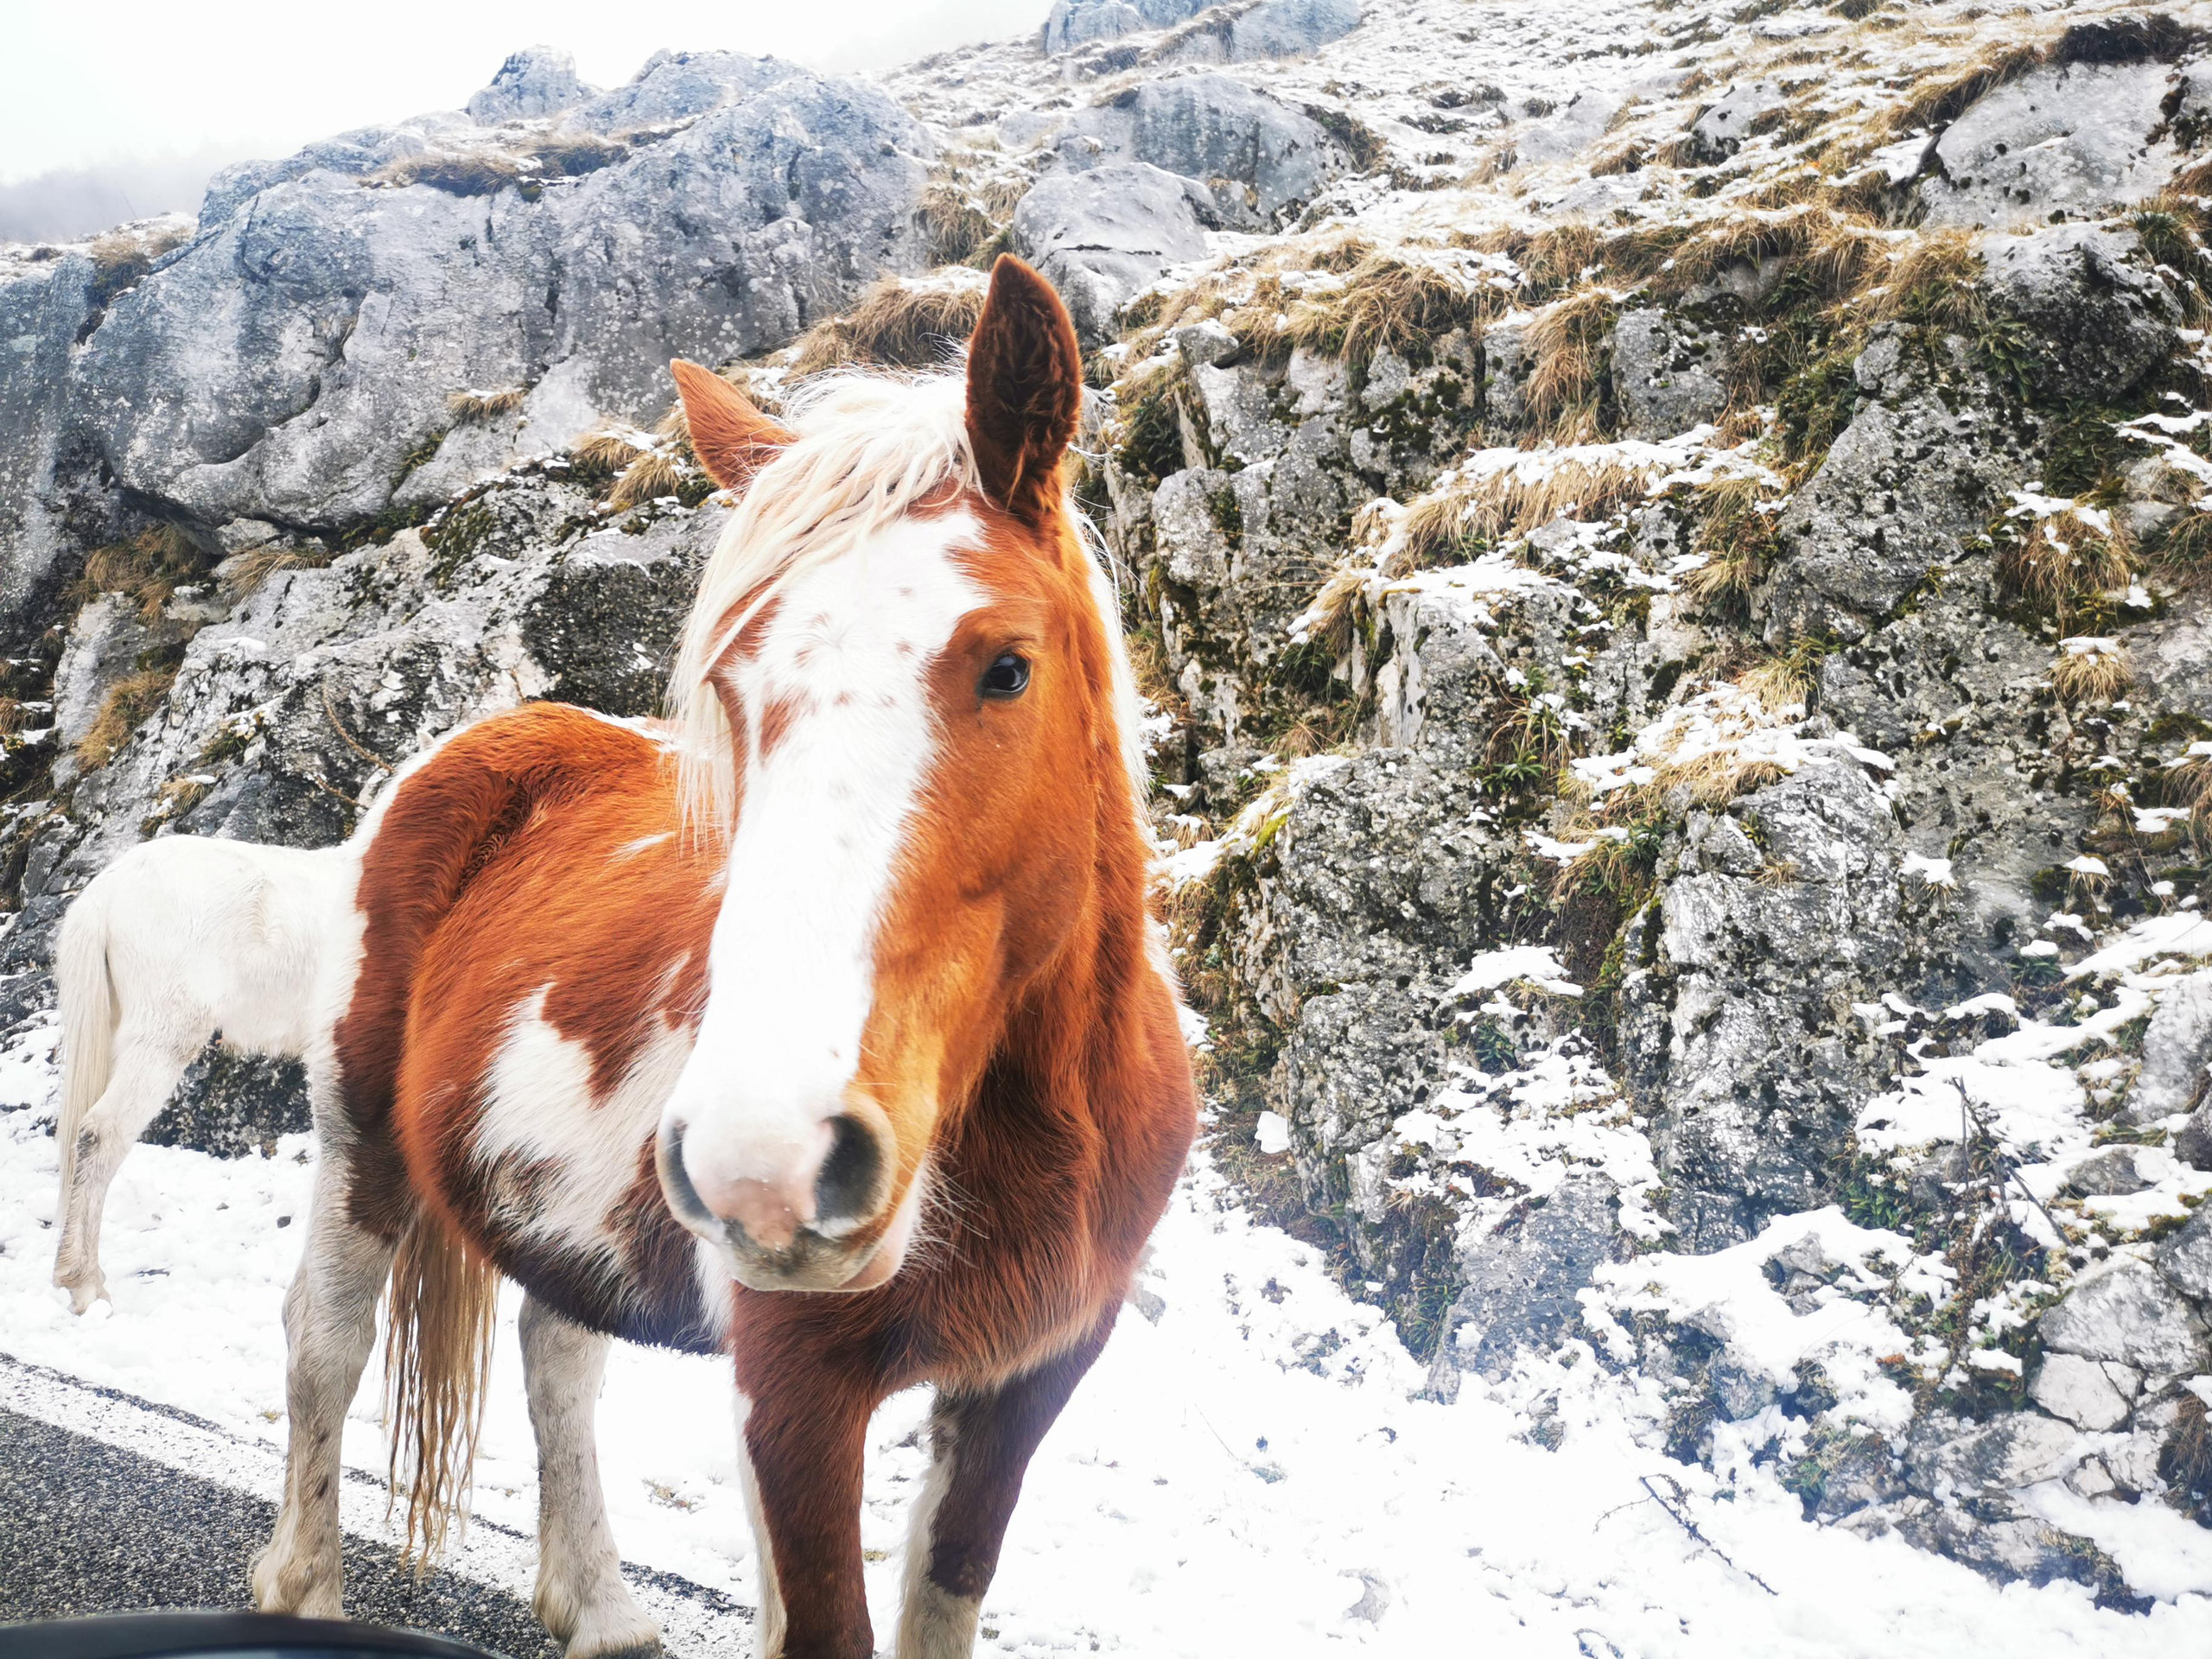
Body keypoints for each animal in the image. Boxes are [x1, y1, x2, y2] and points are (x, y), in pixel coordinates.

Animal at [247, 254, 1199, 1659]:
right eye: (734, 690)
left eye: (1008, 668)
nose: (768, 1157)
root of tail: (483, 738)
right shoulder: (795, 1394)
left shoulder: (1026, 1382)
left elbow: (947, 1589)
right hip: (359, 1138)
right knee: (325, 1338)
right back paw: (304, 1588)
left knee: (557, 1359)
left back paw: (600, 1609)